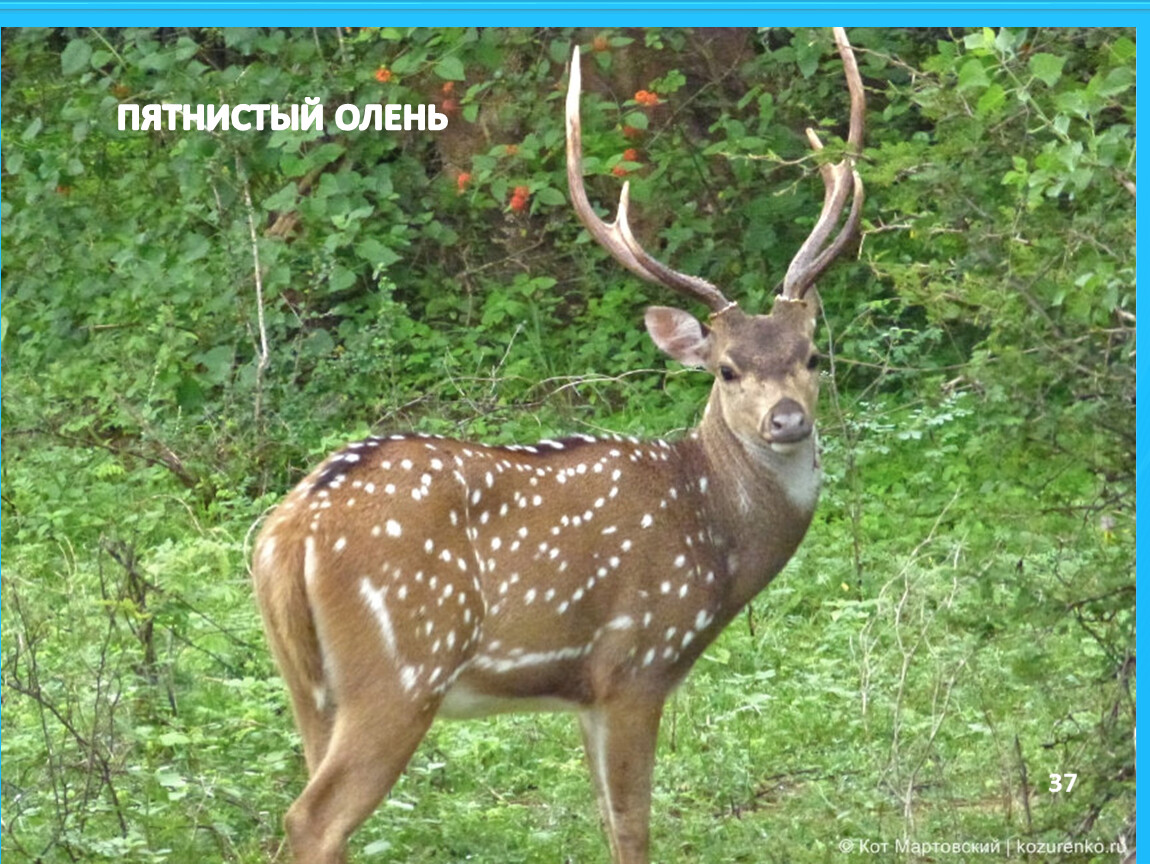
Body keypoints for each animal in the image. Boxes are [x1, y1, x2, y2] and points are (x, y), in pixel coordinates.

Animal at [252, 27, 864, 864]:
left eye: (810, 355)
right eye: (727, 369)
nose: (787, 420)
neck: (715, 533)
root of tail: (288, 532)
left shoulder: (584, 694)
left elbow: (606, 819)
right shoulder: (634, 664)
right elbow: (634, 825)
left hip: (306, 684)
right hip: (401, 668)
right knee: (313, 819)